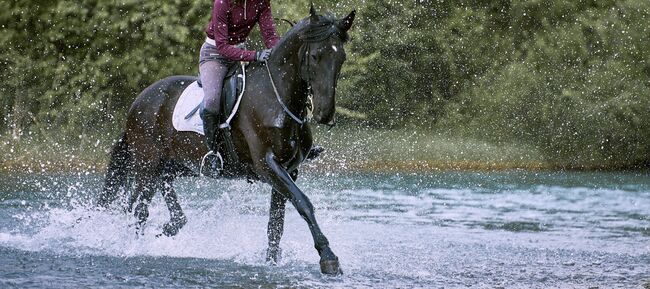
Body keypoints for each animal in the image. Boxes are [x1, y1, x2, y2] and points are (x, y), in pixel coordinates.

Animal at [95, 5, 354, 274]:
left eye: (341, 58)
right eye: (315, 56)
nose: (325, 114)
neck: (277, 98)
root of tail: (138, 102)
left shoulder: (289, 170)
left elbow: (276, 223)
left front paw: (271, 261)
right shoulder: (267, 165)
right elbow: (303, 203)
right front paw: (328, 257)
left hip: (173, 164)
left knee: (162, 191)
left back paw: (169, 228)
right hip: (146, 163)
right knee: (138, 208)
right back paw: (137, 249)